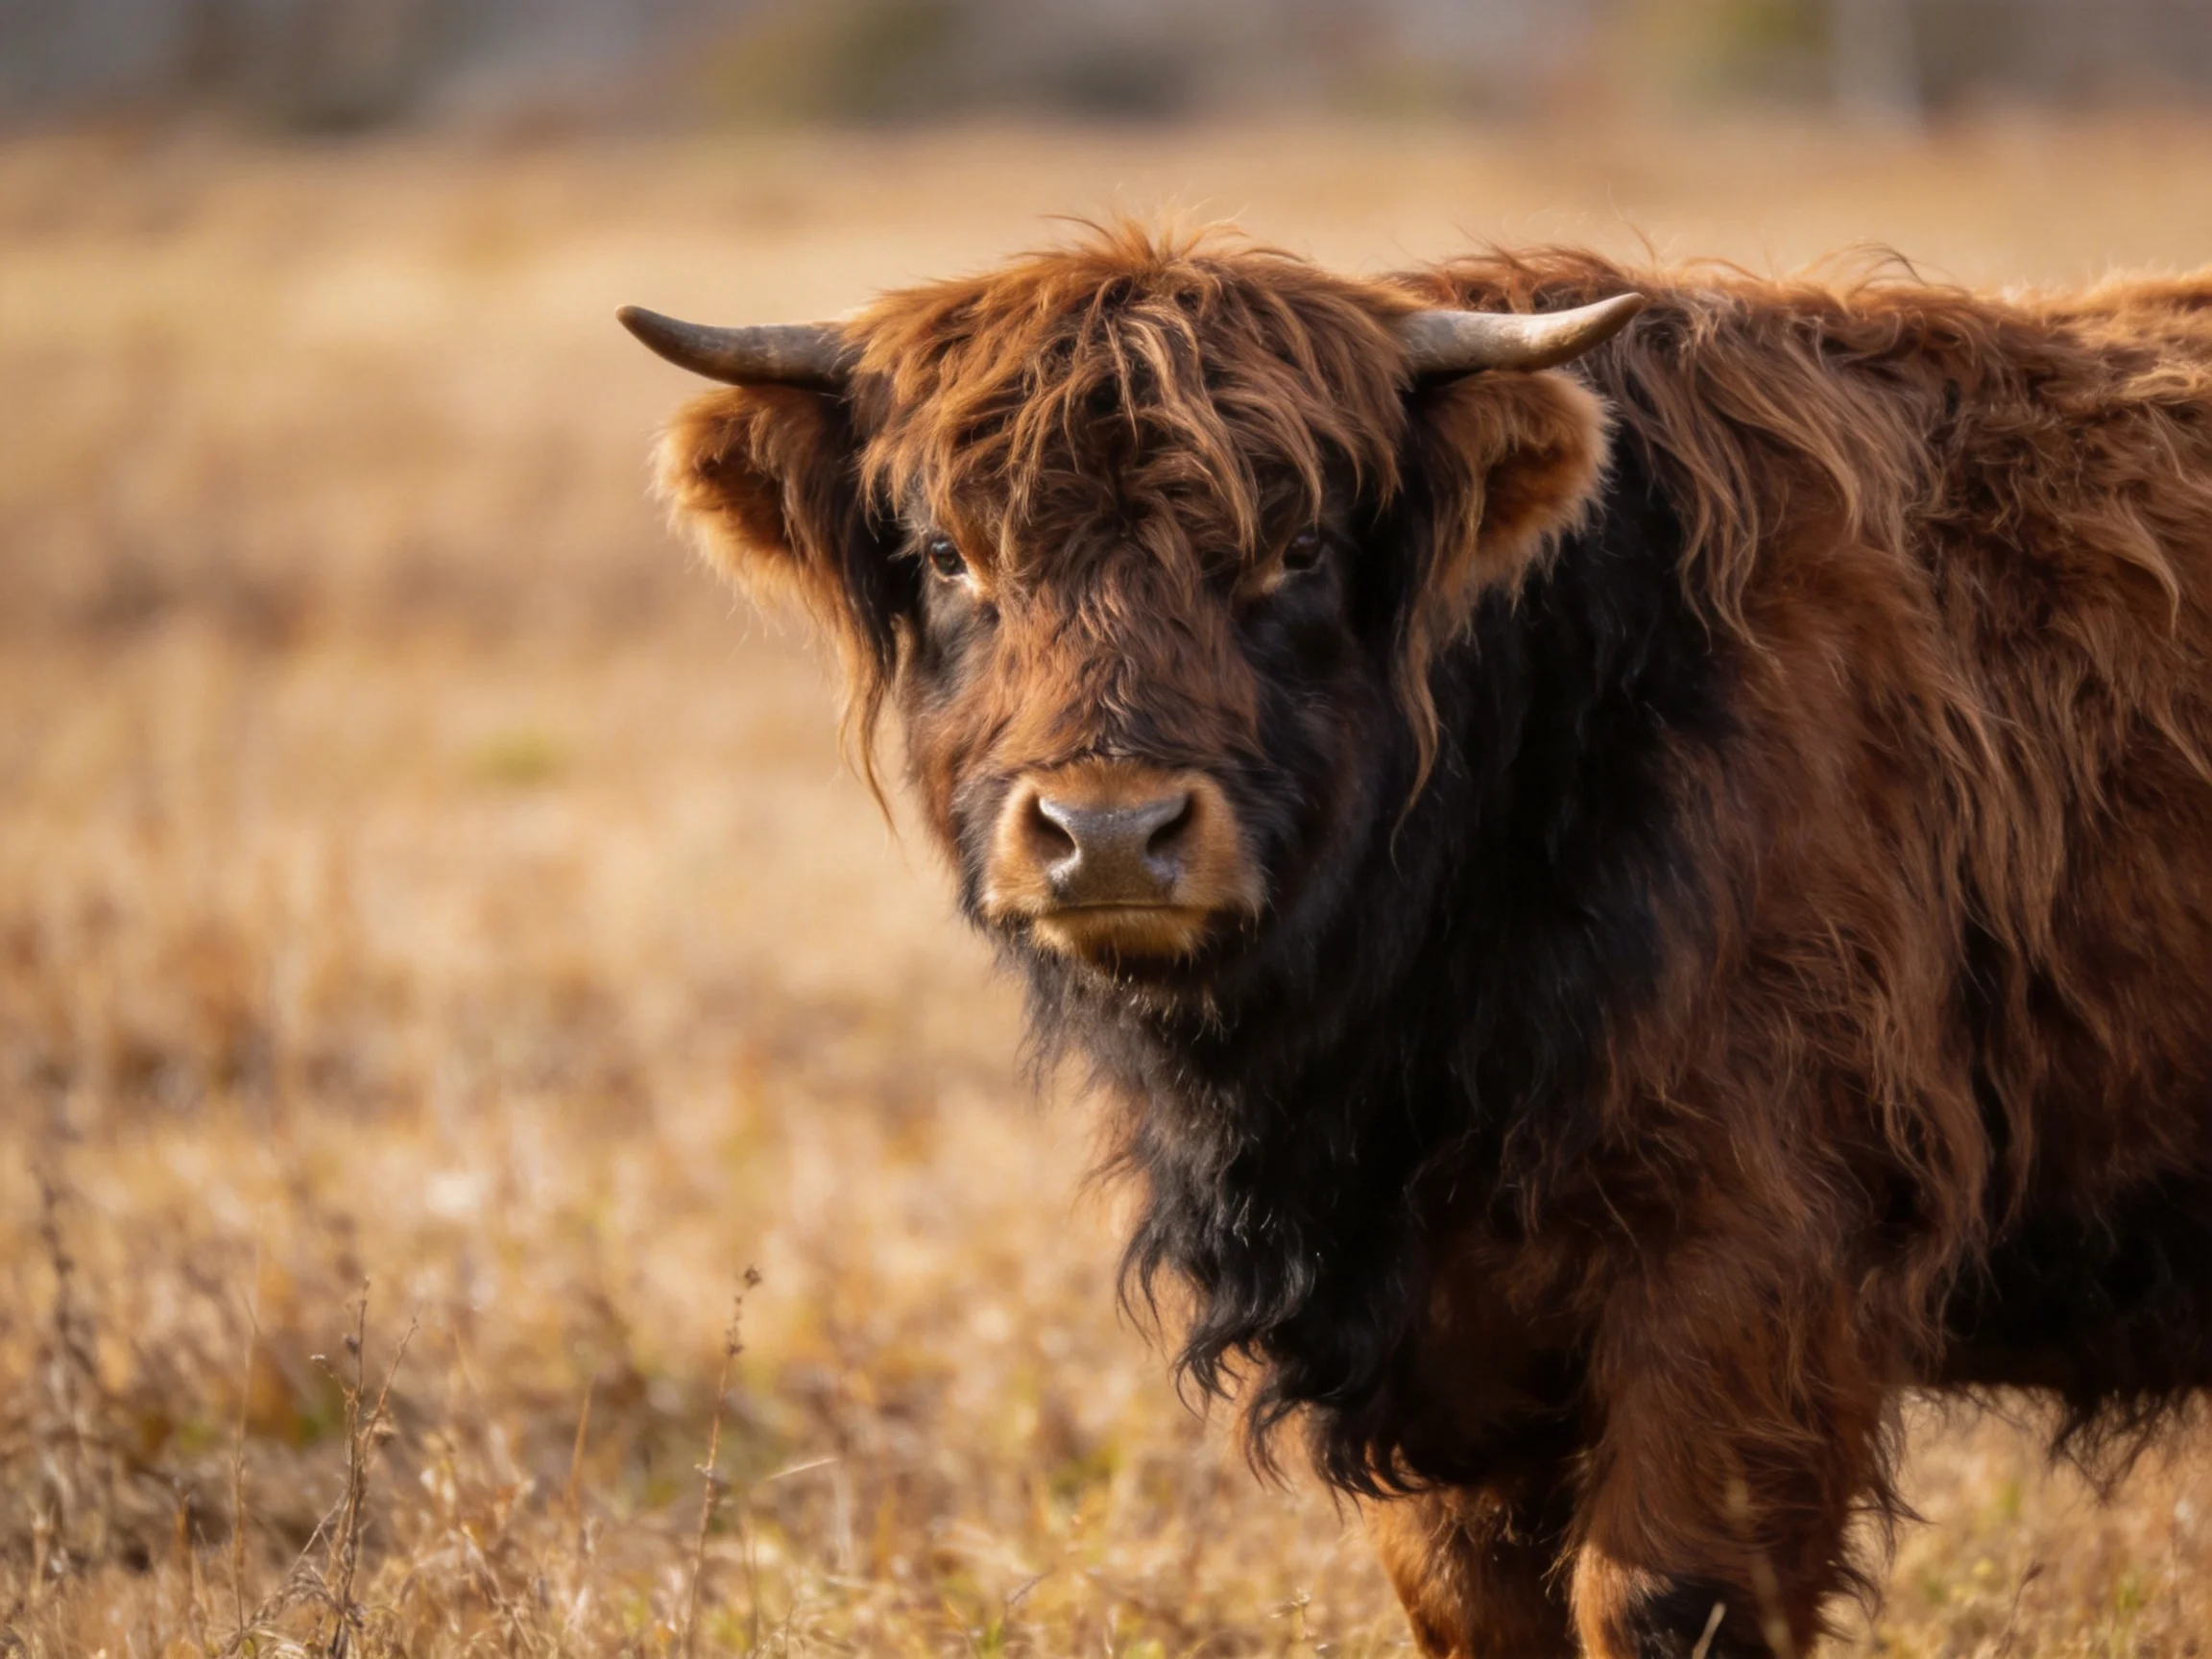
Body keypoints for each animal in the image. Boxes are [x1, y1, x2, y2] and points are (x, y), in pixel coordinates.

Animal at [618, 223, 2212, 1658]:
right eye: (949, 555)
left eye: (1300, 547)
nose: (1111, 830)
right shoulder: (1437, 1330)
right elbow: (1472, 1605)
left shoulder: (1764, 1254)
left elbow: (1663, 1601)